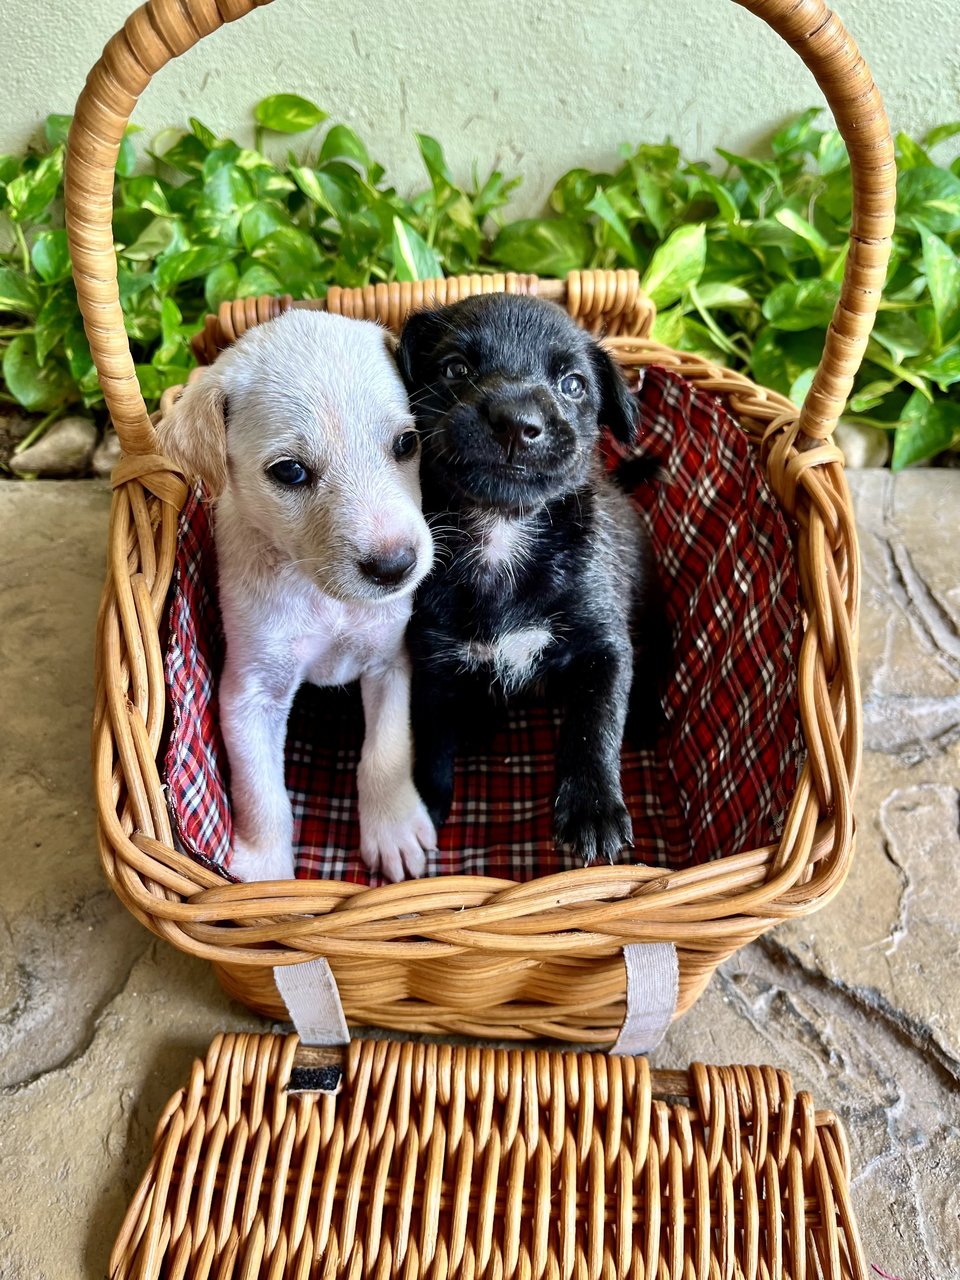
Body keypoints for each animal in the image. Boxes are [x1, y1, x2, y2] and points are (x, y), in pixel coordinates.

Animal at [158, 312, 440, 890]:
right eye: (289, 471)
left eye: (407, 442)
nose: (395, 566)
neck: (321, 594)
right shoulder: (249, 694)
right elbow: (262, 792)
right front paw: (266, 877)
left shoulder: (392, 662)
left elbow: (386, 750)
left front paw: (394, 830)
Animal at [399, 294, 660, 865]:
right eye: (455, 369)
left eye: (573, 385)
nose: (517, 422)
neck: (502, 531)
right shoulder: (432, 666)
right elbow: (431, 741)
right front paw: (419, 807)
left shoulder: (604, 650)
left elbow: (594, 727)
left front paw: (592, 809)